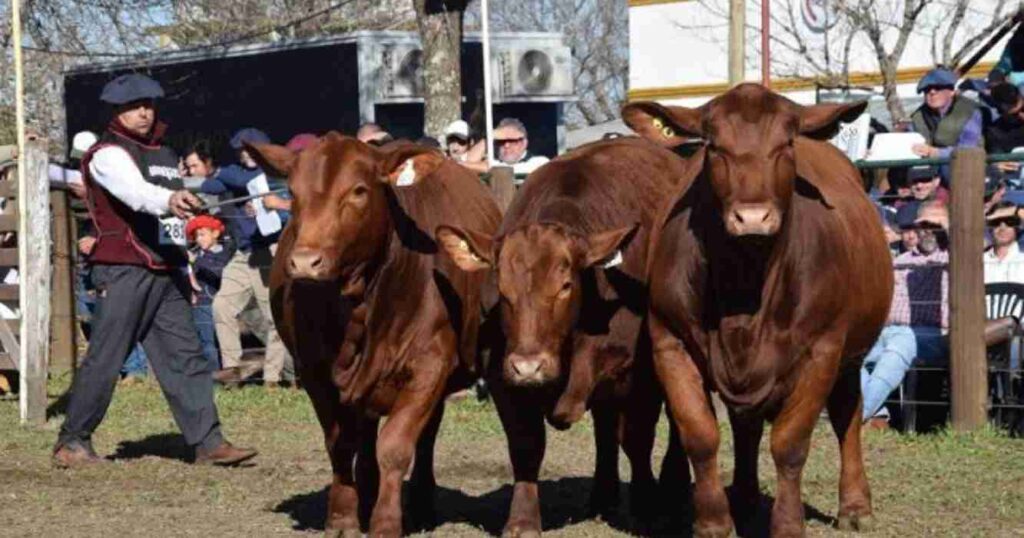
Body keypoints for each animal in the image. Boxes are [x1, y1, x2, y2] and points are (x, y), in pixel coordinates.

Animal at [251, 134, 499, 536]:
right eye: (292, 191)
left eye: (358, 190)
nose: (305, 262)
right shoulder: (314, 372)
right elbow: (340, 444)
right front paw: (343, 517)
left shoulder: (430, 366)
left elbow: (396, 446)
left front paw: (386, 522)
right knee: (363, 437)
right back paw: (366, 494)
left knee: (424, 437)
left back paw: (420, 504)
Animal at [436, 136, 692, 532]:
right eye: (503, 289)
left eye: (565, 286)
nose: (528, 366)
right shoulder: (501, 378)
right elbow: (526, 446)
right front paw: (523, 520)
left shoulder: (642, 374)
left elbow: (638, 438)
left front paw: (647, 508)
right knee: (604, 425)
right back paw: (602, 495)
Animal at [618, 81, 892, 532]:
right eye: (713, 145)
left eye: (786, 143)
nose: (752, 217)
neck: (745, 287)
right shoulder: (669, 342)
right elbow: (701, 435)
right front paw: (713, 522)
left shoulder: (822, 350)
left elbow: (790, 443)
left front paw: (788, 525)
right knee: (745, 426)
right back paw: (744, 499)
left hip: (850, 355)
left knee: (846, 417)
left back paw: (855, 506)